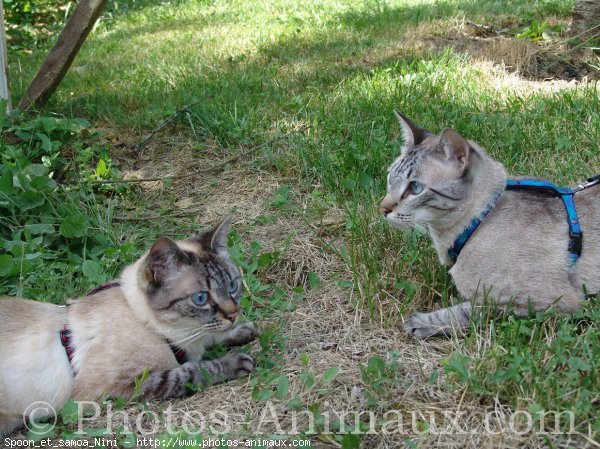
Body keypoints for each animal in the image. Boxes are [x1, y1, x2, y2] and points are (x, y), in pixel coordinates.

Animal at [0, 216, 258, 434]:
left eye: (233, 285)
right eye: (201, 298)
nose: (233, 315)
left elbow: (211, 339)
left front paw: (244, 331)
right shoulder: (120, 387)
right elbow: (190, 371)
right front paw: (236, 362)